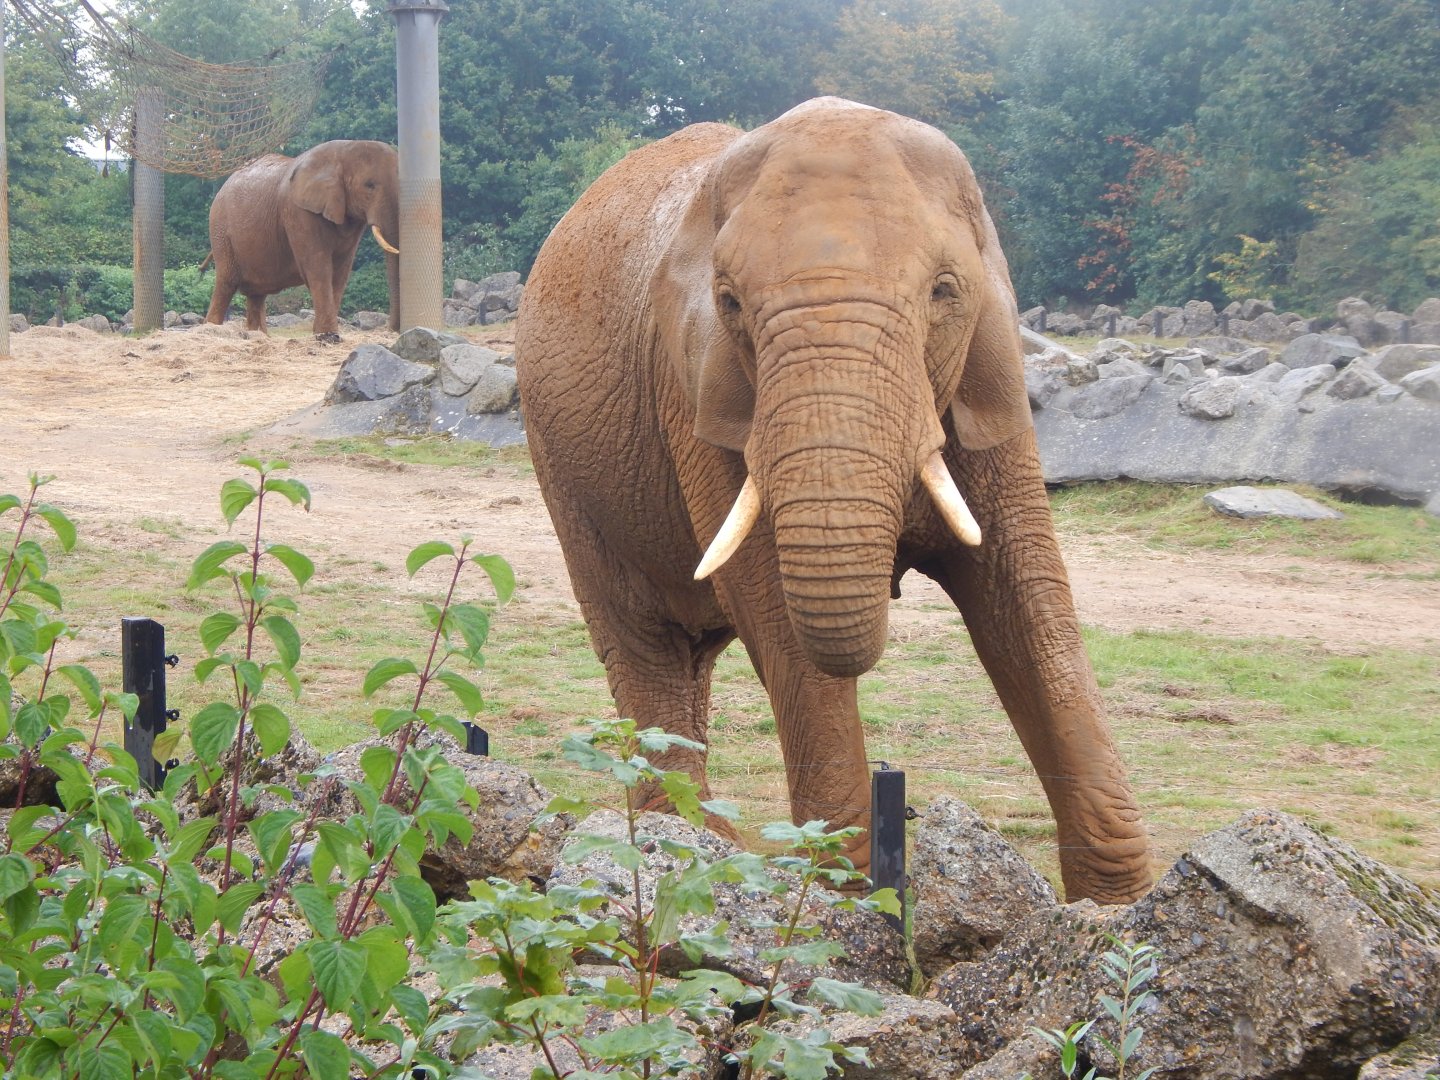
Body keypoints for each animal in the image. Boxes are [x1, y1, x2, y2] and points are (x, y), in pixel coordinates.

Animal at [204, 139, 400, 342]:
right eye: (369, 185)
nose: (392, 330)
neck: (343, 150)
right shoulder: (297, 212)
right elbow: (317, 267)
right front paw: (328, 336)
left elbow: (340, 273)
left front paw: (325, 335)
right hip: (220, 230)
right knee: (226, 283)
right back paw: (210, 330)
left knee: (256, 294)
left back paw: (258, 336)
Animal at [514, 98, 1151, 904]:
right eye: (729, 303)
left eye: (944, 291)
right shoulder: (694, 391)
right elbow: (773, 606)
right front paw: (845, 898)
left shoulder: (990, 379)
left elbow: (1025, 592)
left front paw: (1115, 908)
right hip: (561, 465)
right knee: (642, 642)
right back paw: (687, 851)